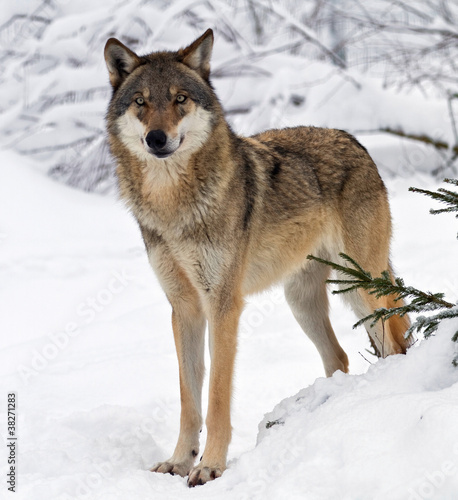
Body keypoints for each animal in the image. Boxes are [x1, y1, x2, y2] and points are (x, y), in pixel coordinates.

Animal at [104, 29, 412, 486]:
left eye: (180, 99)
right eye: (141, 101)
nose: (157, 139)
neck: (174, 205)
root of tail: (352, 139)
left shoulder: (223, 305)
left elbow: (216, 398)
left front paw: (210, 466)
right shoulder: (184, 309)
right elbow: (188, 400)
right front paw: (179, 462)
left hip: (362, 287)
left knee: (393, 343)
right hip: (305, 302)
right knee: (339, 357)